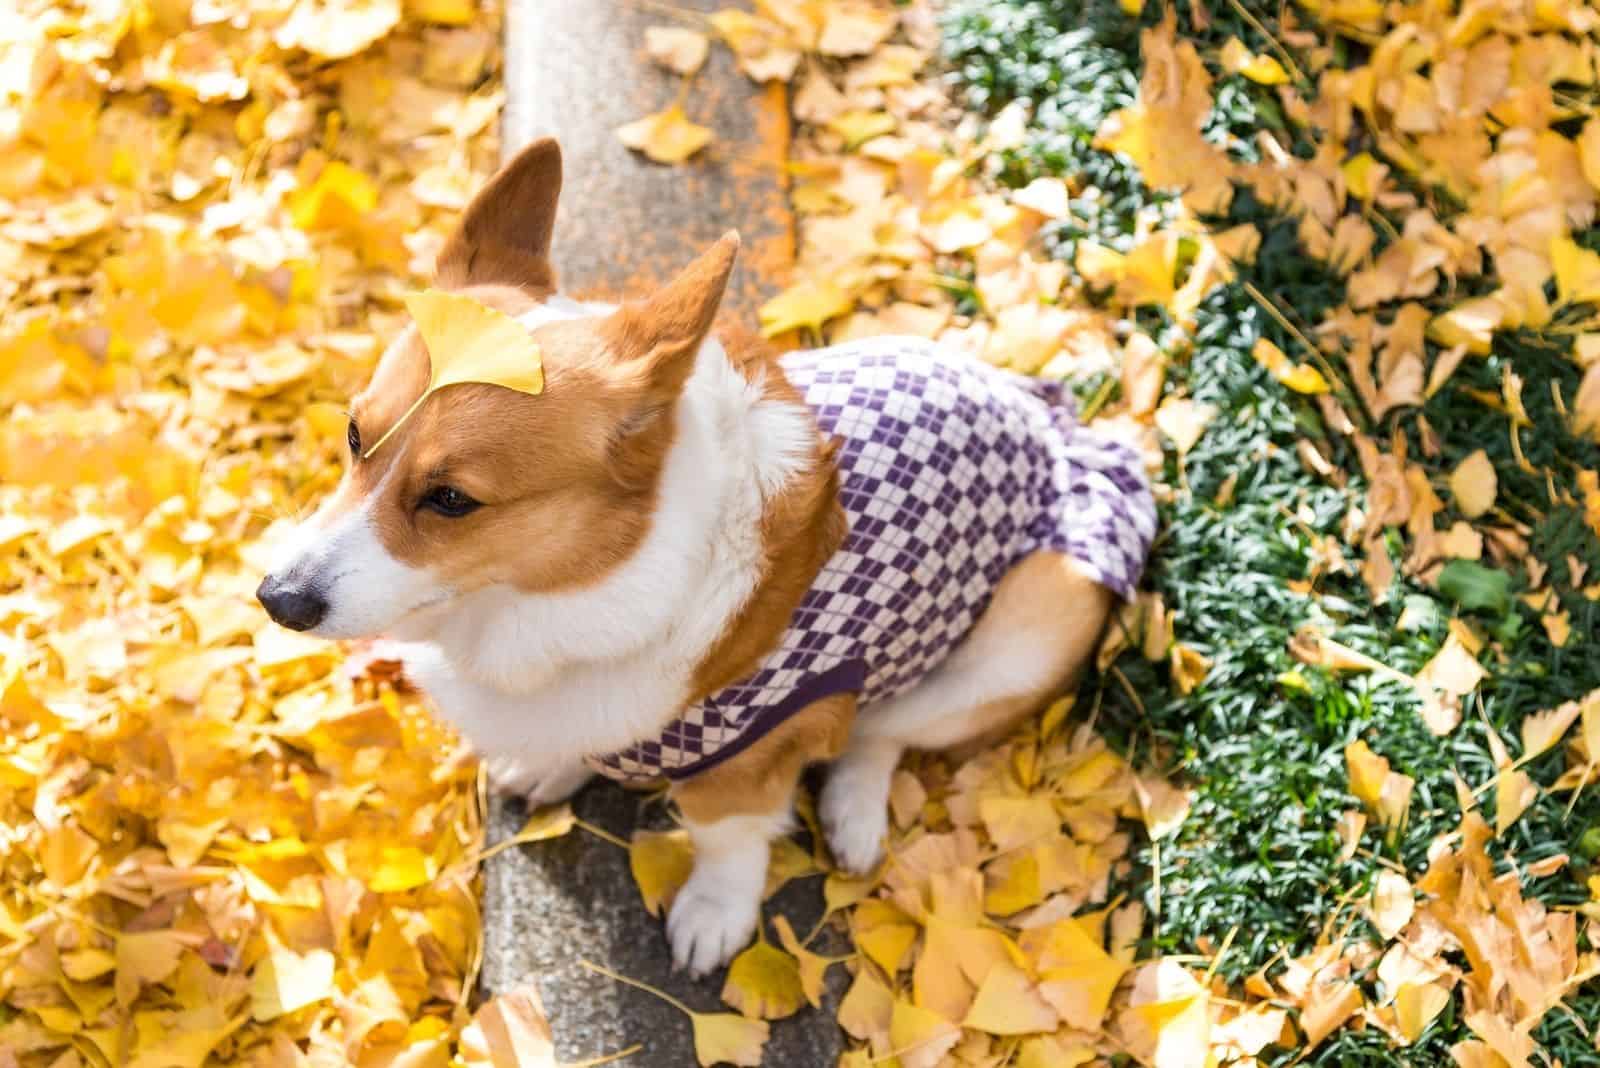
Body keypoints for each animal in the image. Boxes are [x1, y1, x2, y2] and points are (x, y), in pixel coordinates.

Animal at [265, 141, 1164, 978]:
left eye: (451, 499)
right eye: (355, 434)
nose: (277, 598)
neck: (567, 592)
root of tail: (1058, 426)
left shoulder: (749, 759)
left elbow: (725, 836)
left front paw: (713, 917)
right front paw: (551, 764)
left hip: (1019, 641)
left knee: (882, 729)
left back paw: (854, 814)